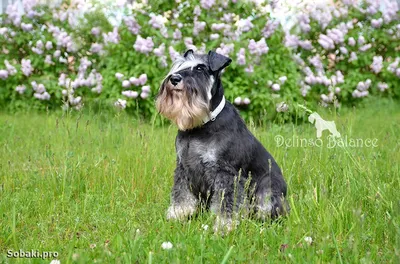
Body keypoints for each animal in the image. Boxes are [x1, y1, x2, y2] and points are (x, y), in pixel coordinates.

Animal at [155, 50, 288, 233]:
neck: (200, 126)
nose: (174, 78)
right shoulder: (183, 167)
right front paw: (177, 214)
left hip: (267, 190)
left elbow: (227, 202)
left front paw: (225, 226)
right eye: (179, 65)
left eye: (200, 68)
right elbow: (181, 193)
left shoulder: (225, 173)